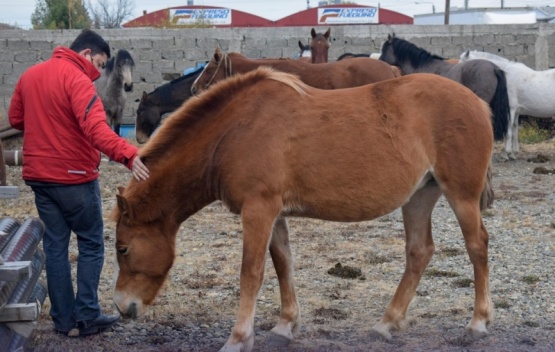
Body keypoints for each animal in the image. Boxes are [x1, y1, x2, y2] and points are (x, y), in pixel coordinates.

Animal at [112, 67, 496, 350]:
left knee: (477, 246)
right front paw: (286, 325)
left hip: (460, 195)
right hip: (420, 196)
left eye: (123, 248)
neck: (235, 130)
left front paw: (238, 338)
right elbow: (283, 263)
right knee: (419, 252)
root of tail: (477, 102)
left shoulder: (258, 210)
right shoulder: (274, 213)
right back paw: (387, 323)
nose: (121, 307)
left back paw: (477, 323)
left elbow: (251, 273)